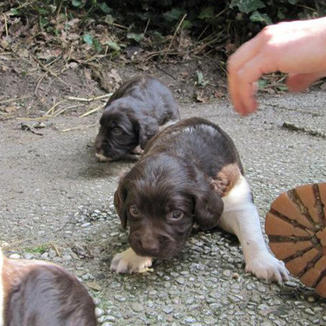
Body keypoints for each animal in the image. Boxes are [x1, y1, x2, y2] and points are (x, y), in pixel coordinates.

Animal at [111, 116, 290, 282]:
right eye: (134, 210)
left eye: (176, 214)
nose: (149, 247)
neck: (180, 151)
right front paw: (134, 256)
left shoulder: (237, 194)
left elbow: (249, 230)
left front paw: (264, 262)